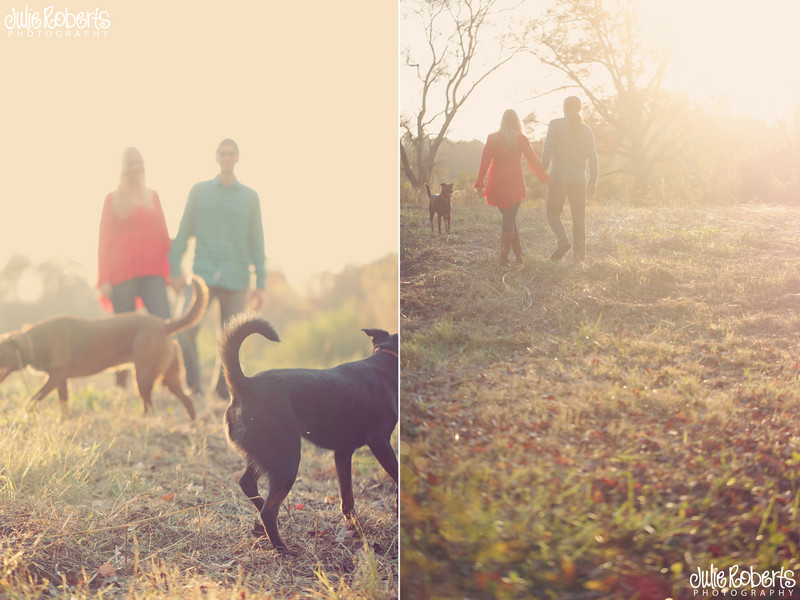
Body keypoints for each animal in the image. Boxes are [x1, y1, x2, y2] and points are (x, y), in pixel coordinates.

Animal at [0, 276, 209, 420]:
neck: (35, 341)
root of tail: (164, 325)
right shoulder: (60, 379)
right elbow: (64, 402)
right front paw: (63, 420)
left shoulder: (55, 376)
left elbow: (32, 399)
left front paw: (23, 414)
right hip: (169, 378)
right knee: (186, 401)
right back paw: (191, 424)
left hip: (143, 376)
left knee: (150, 406)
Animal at [220, 316, 398, 552]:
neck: (386, 359)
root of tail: (244, 384)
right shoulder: (380, 442)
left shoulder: (343, 453)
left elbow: (347, 500)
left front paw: (356, 529)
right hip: (287, 460)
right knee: (268, 510)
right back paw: (283, 548)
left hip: (268, 456)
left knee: (248, 484)